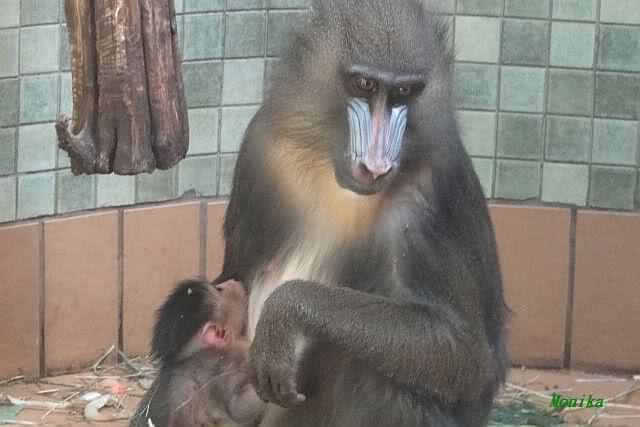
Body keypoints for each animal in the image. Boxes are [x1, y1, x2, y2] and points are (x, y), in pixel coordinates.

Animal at [192, 0, 508, 425]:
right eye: (365, 85)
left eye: (403, 92)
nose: (375, 167)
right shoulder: (262, 147)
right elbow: (235, 275)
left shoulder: (435, 193)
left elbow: (468, 356)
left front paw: (287, 312)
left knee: (371, 367)